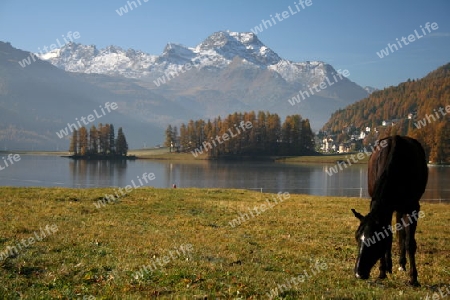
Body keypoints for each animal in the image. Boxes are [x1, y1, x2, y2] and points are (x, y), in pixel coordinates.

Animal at [352, 135, 428, 284]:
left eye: (374, 241)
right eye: (357, 237)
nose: (359, 273)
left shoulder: (413, 207)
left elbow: (410, 242)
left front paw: (414, 278)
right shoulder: (383, 209)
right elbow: (387, 234)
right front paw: (382, 271)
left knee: (402, 232)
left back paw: (402, 264)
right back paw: (390, 266)